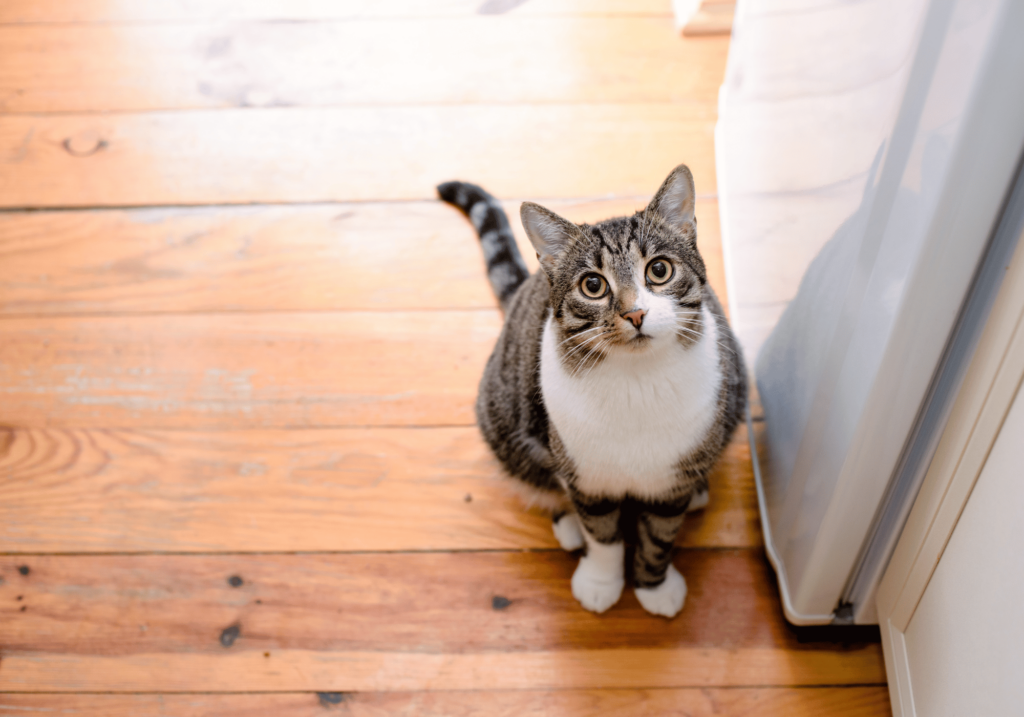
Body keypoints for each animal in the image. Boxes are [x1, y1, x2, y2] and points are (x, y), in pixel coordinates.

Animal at [438, 163, 745, 614]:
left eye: (659, 270)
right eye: (593, 285)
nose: (635, 313)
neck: (637, 381)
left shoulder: (672, 479)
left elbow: (659, 536)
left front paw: (654, 587)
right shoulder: (586, 477)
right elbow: (602, 534)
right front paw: (601, 581)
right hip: (504, 418)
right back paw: (567, 524)